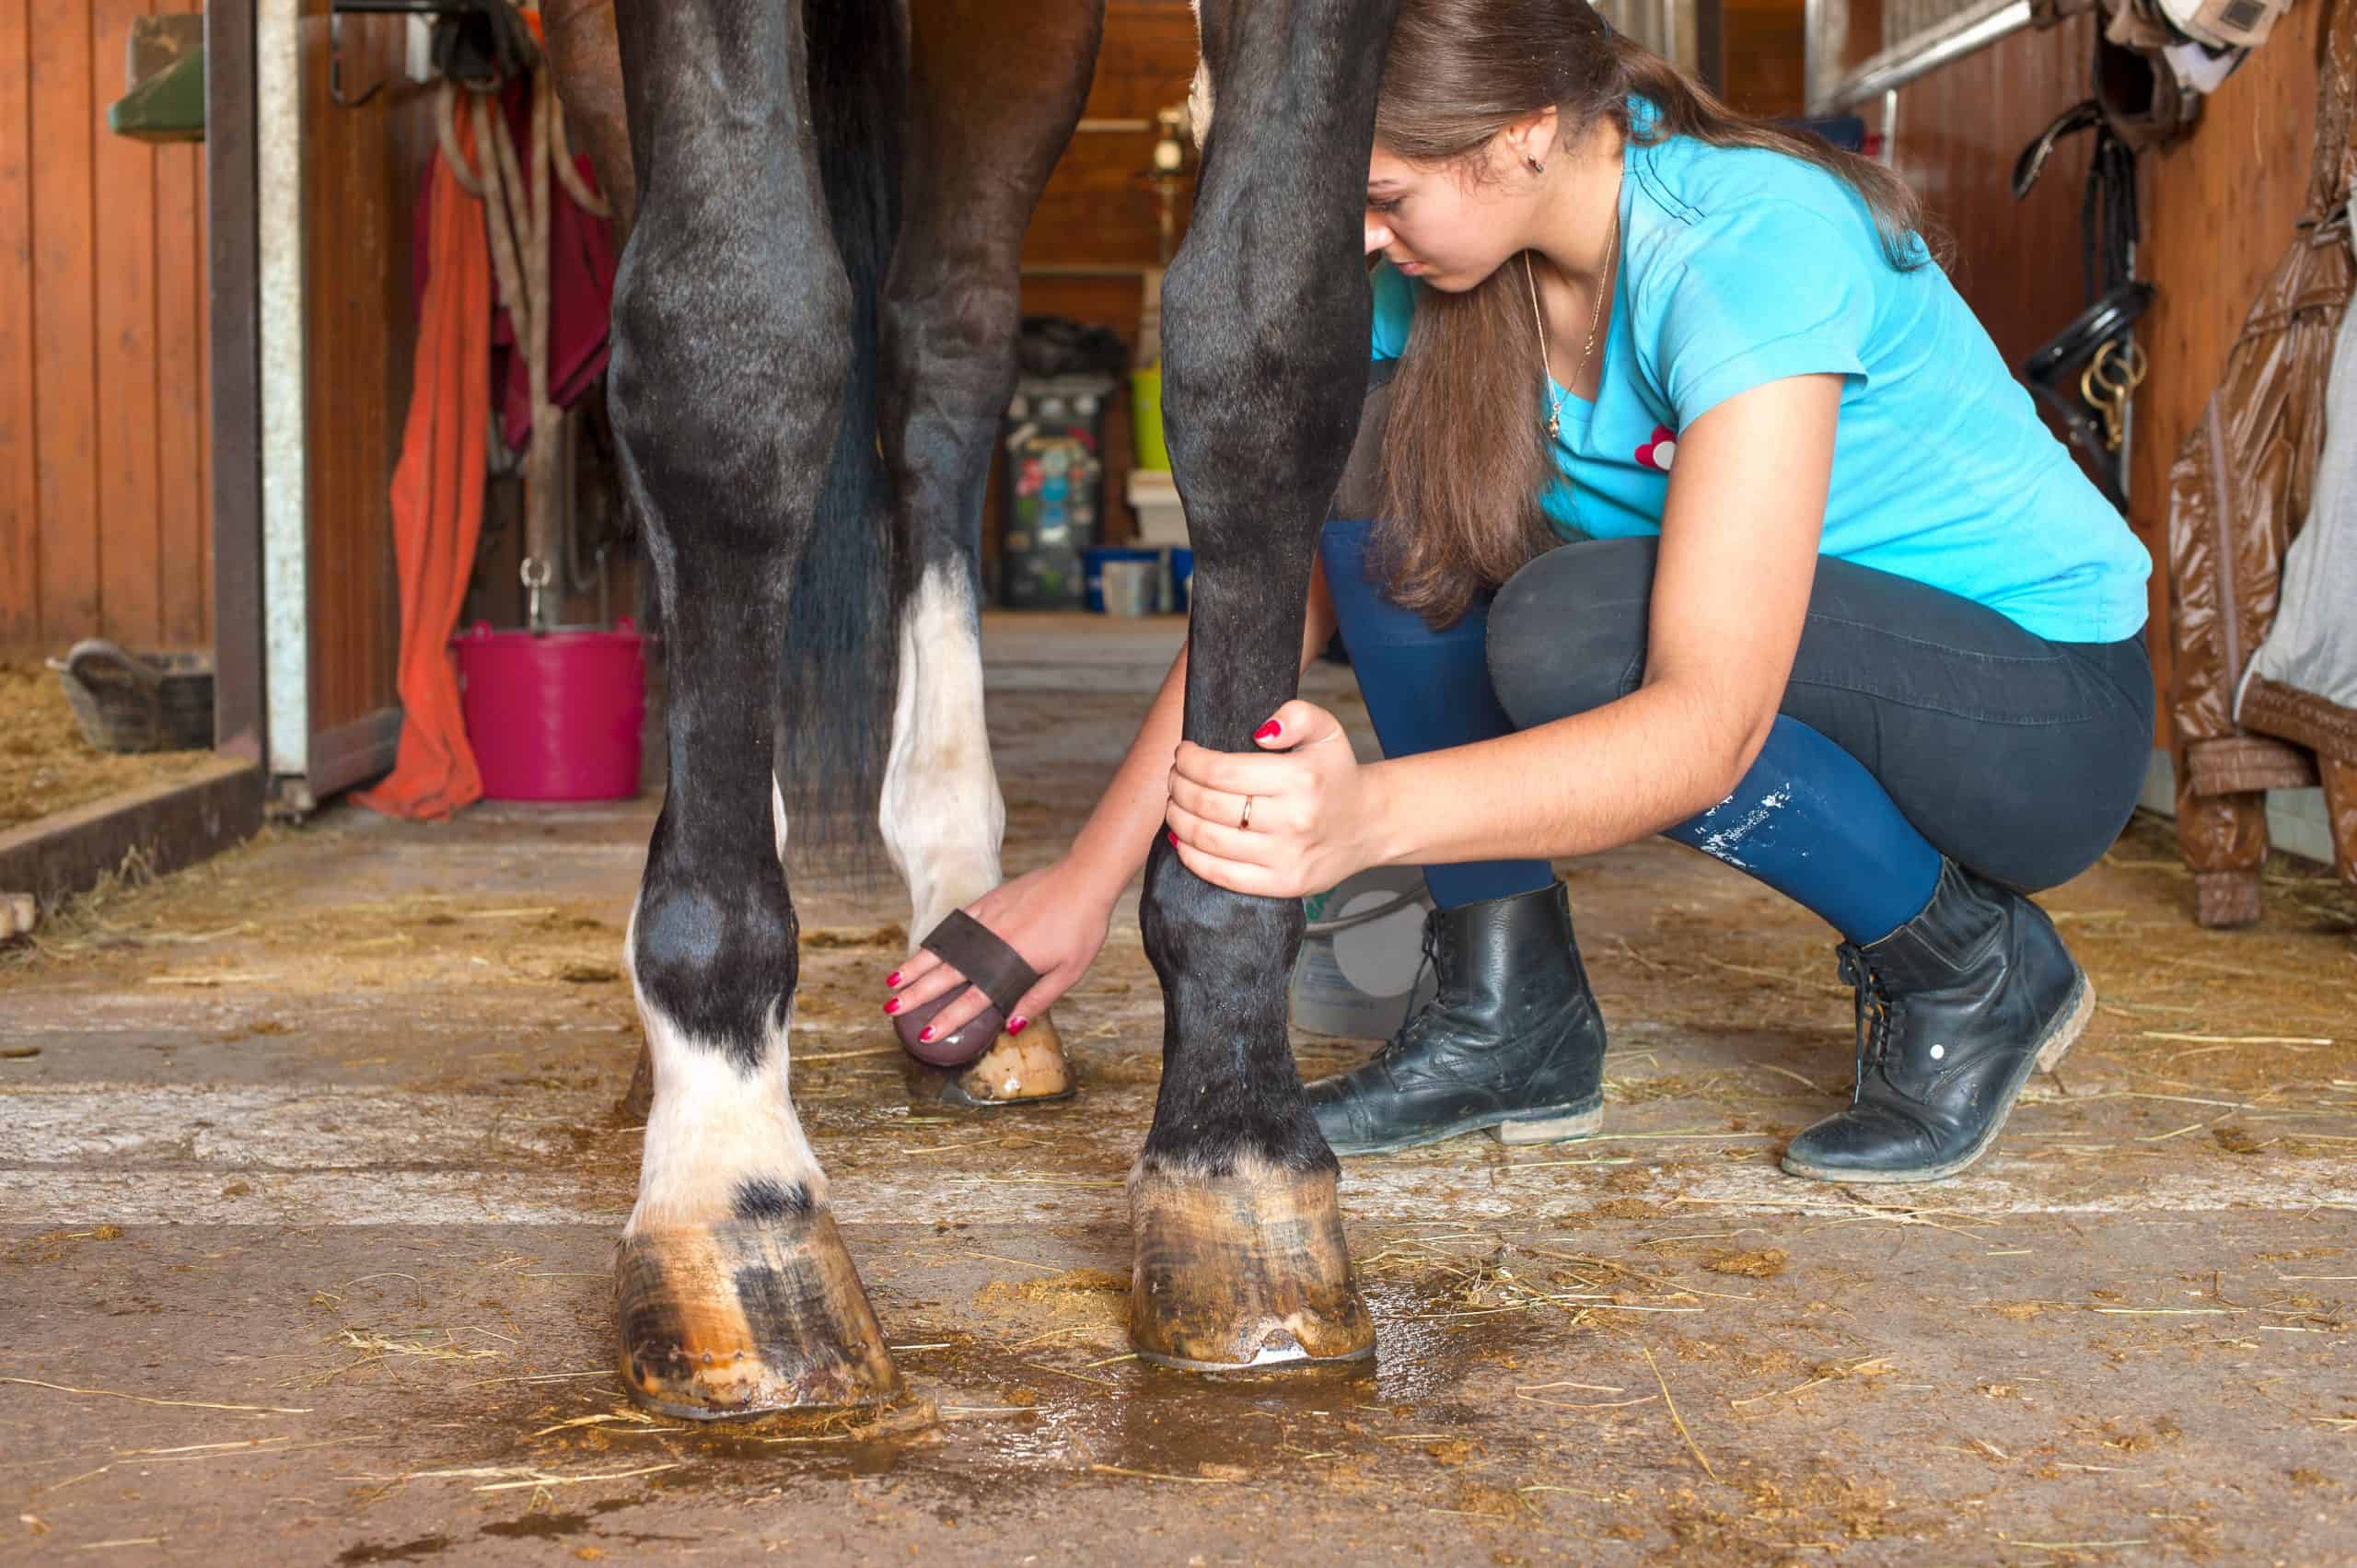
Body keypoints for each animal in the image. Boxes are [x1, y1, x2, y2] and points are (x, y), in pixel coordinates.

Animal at [541, 0, 1404, 1414]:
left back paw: (959, 893)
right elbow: (732, 355)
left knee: (940, 348)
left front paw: (1237, 1154)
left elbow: (1265, 352)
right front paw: (730, 1169)